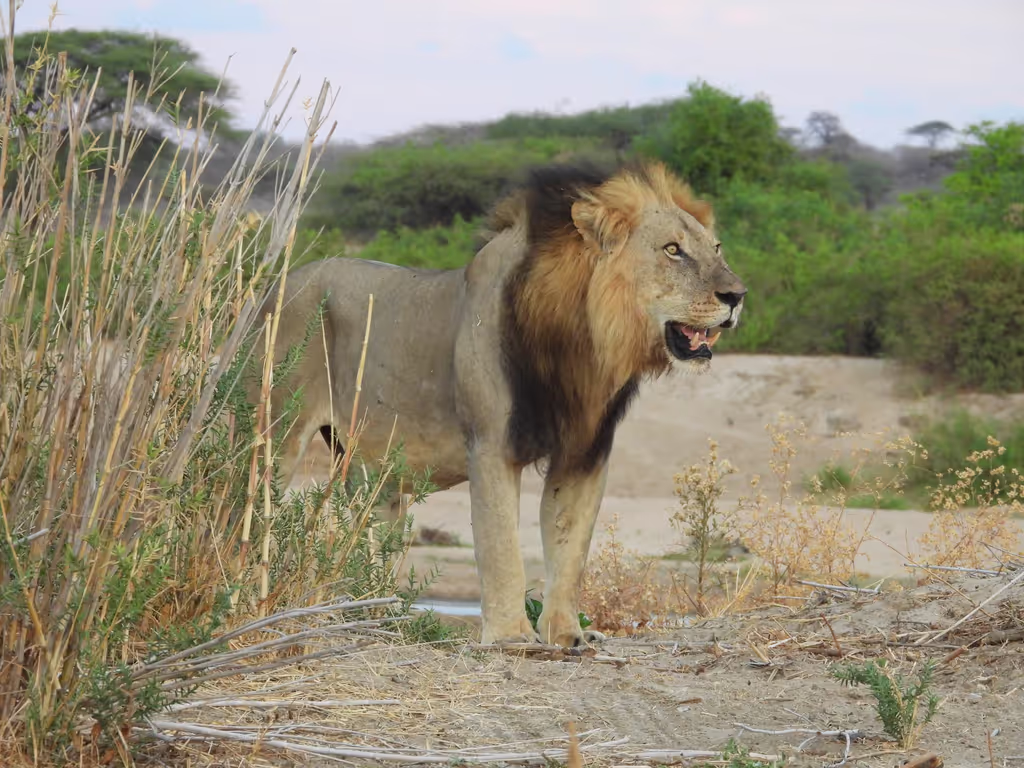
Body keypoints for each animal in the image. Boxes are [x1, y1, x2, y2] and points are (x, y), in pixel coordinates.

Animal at [251, 161, 747, 648]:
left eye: (717, 247)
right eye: (672, 250)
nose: (737, 296)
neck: (586, 343)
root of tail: (276, 287)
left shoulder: (584, 453)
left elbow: (570, 548)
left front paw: (567, 635)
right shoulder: (491, 445)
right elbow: (500, 544)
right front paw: (512, 638)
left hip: (372, 466)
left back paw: (377, 620)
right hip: (278, 434)